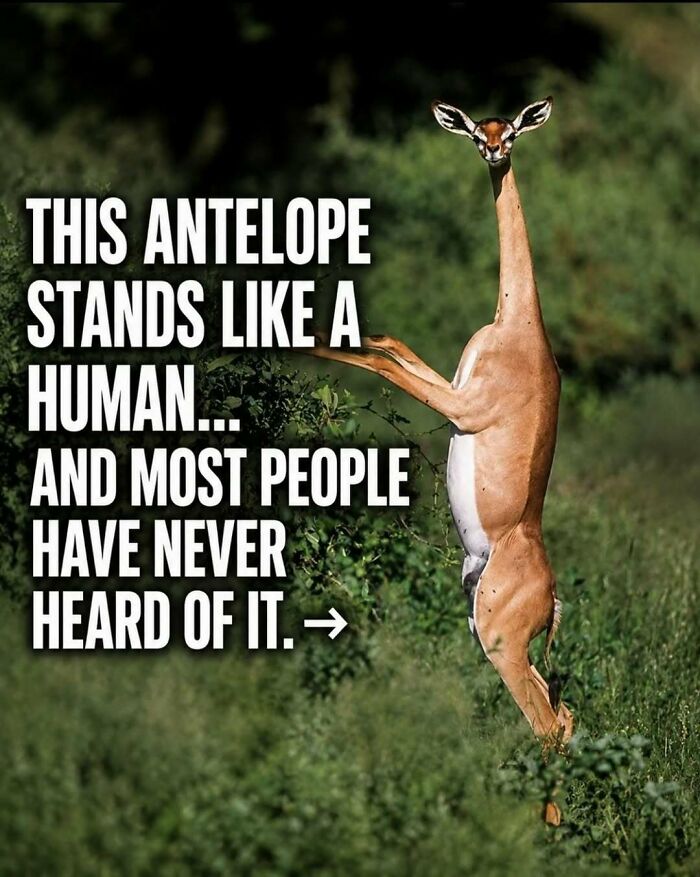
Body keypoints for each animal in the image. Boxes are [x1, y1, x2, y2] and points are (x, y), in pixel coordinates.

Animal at [305, 97, 574, 746]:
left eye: (512, 129)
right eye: (479, 128)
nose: (495, 151)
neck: (519, 325)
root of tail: (552, 598)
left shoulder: (462, 407)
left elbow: (380, 361)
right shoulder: (453, 387)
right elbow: (386, 340)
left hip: (502, 645)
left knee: (548, 727)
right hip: (486, 634)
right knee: (564, 716)